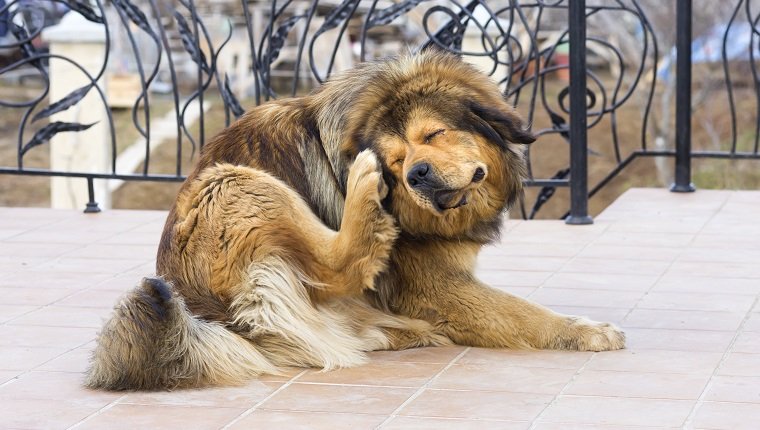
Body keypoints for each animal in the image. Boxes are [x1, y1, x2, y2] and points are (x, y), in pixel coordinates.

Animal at [87, 50, 624, 390]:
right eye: (396, 160)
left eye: (433, 134)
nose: (415, 175)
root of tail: (203, 314)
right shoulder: (436, 285)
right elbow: (523, 313)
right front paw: (586, 332)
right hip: (234, 183)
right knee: (337, 265)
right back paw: (363, 199)